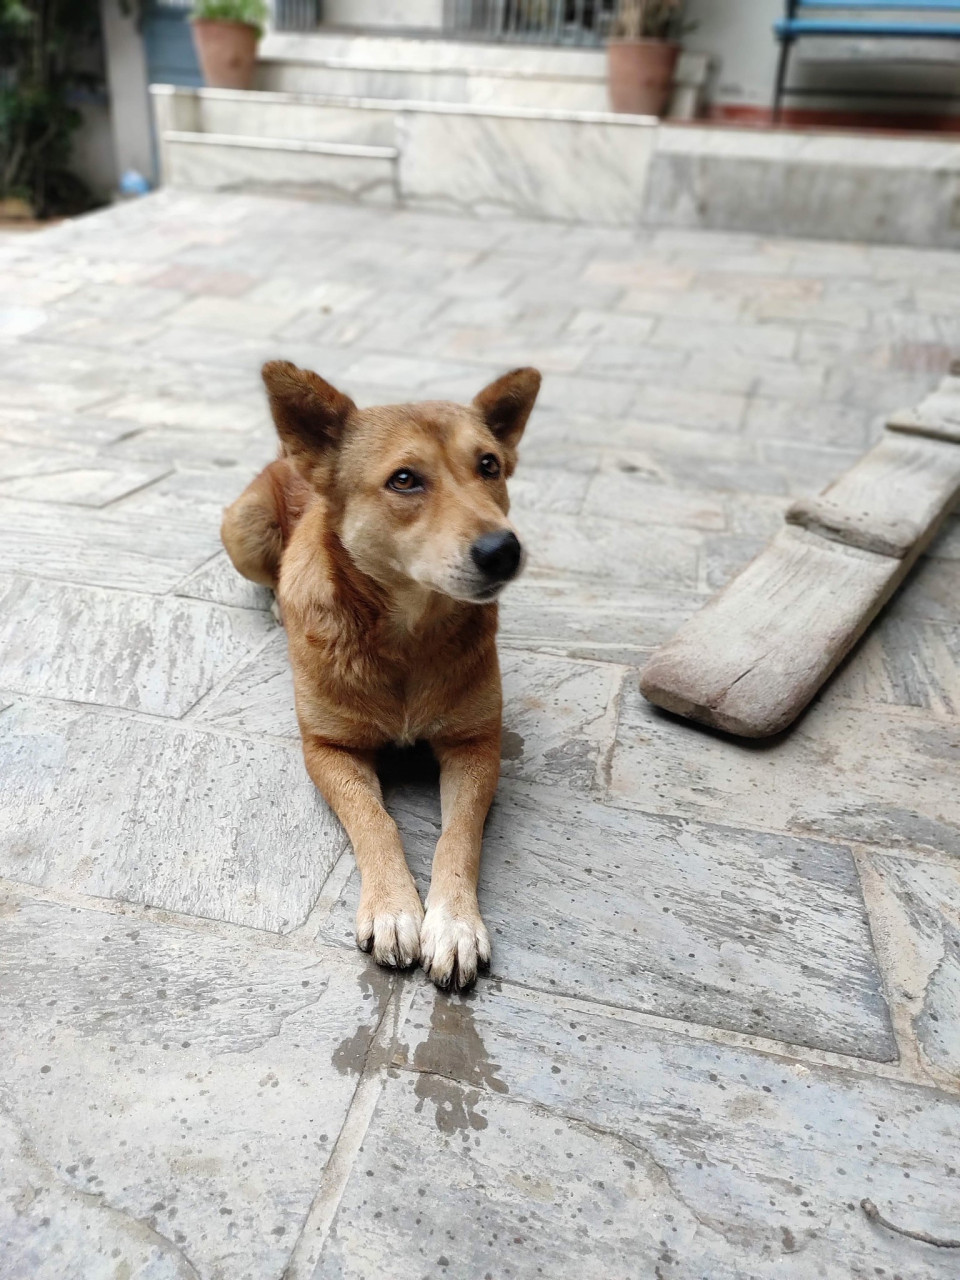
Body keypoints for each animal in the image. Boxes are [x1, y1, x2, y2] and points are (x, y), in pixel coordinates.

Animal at [221, 360, 545, 988]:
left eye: (489, 465)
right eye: (404, 480)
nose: (504, 549)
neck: (405, 640)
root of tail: (286, 454)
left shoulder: (475, 742)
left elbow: (458, 834)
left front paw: (453, 922)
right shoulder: (328, 748)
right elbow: (375, 819)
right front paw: (395, 908)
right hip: (242, 528)